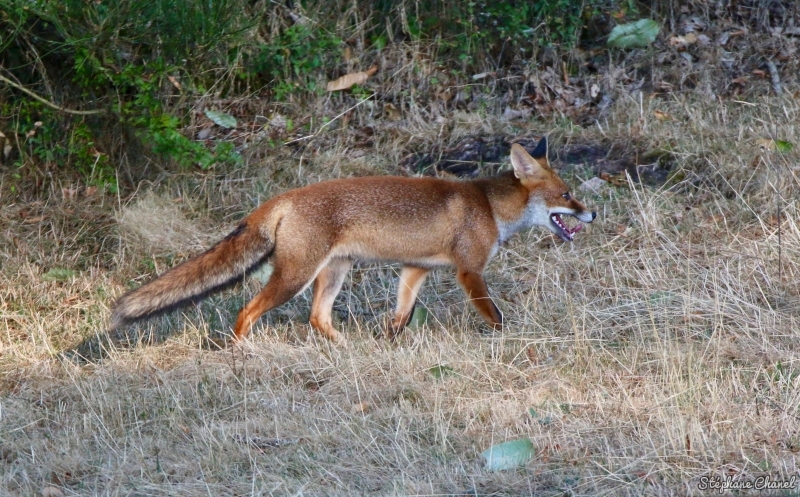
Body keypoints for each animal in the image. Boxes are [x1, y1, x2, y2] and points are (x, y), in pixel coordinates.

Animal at [111, 138, 592, 342]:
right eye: (567, 194)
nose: (592, 213)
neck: (490, 208)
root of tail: (284, 196)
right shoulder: (469, 271)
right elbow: (495, 315)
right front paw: (510, 339)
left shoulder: (415, 268)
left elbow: (401, 314)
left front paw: (389, 340)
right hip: (295, 277)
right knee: (247, 311)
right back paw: (242, 353)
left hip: (334, 272)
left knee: (317, 318)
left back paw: (344, 347)